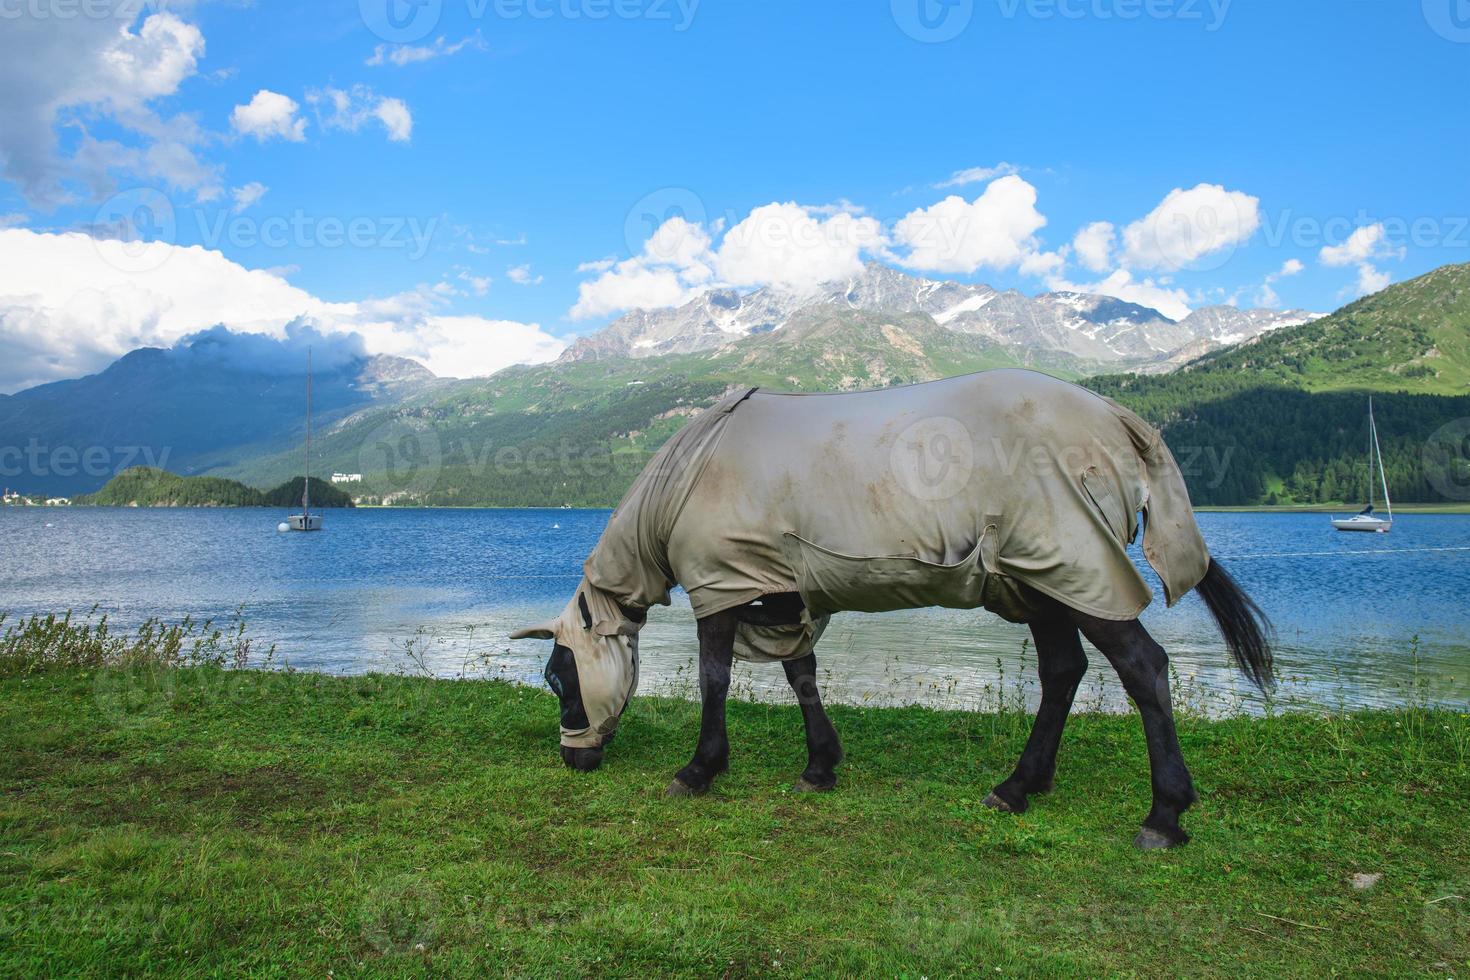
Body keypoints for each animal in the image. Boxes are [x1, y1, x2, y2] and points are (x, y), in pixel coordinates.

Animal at [511, 371, 1270, 846]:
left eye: (557, 677)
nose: (574, 759)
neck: (691, 473)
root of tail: (1120, 418)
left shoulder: (721, 583)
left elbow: (715, 679)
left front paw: (698, 770)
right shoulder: (781, 587)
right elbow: (802, 675)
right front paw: (820, 767)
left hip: (1079, 569)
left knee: (1144, 668)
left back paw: (1164, 815)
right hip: (1043, 579)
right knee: (1062, 672)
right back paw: (1019, 786)